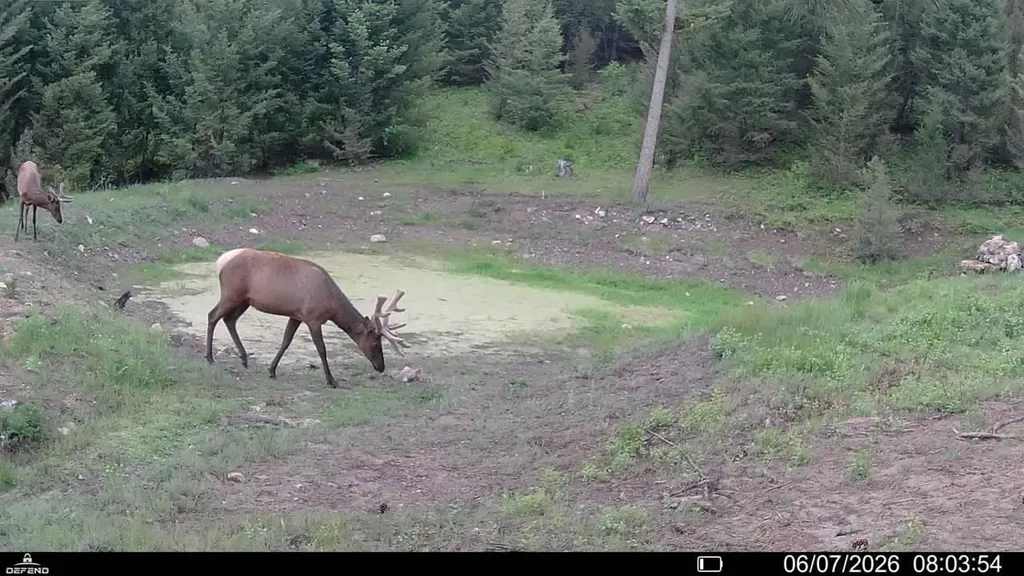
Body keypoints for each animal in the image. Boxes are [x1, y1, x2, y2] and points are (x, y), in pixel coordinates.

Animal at [205, 248, 411, 388]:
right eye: (375, 343)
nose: (381, 367)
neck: (331, 304)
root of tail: (221, 262)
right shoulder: (313, 318)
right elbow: (321, 349)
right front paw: (331, 380)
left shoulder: (296, 315)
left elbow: (286, 341)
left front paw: (272, 370)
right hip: (231, 293)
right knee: (212, 315)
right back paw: (210, 358)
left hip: (244, 300)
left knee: (229, 320)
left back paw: (244, 358)